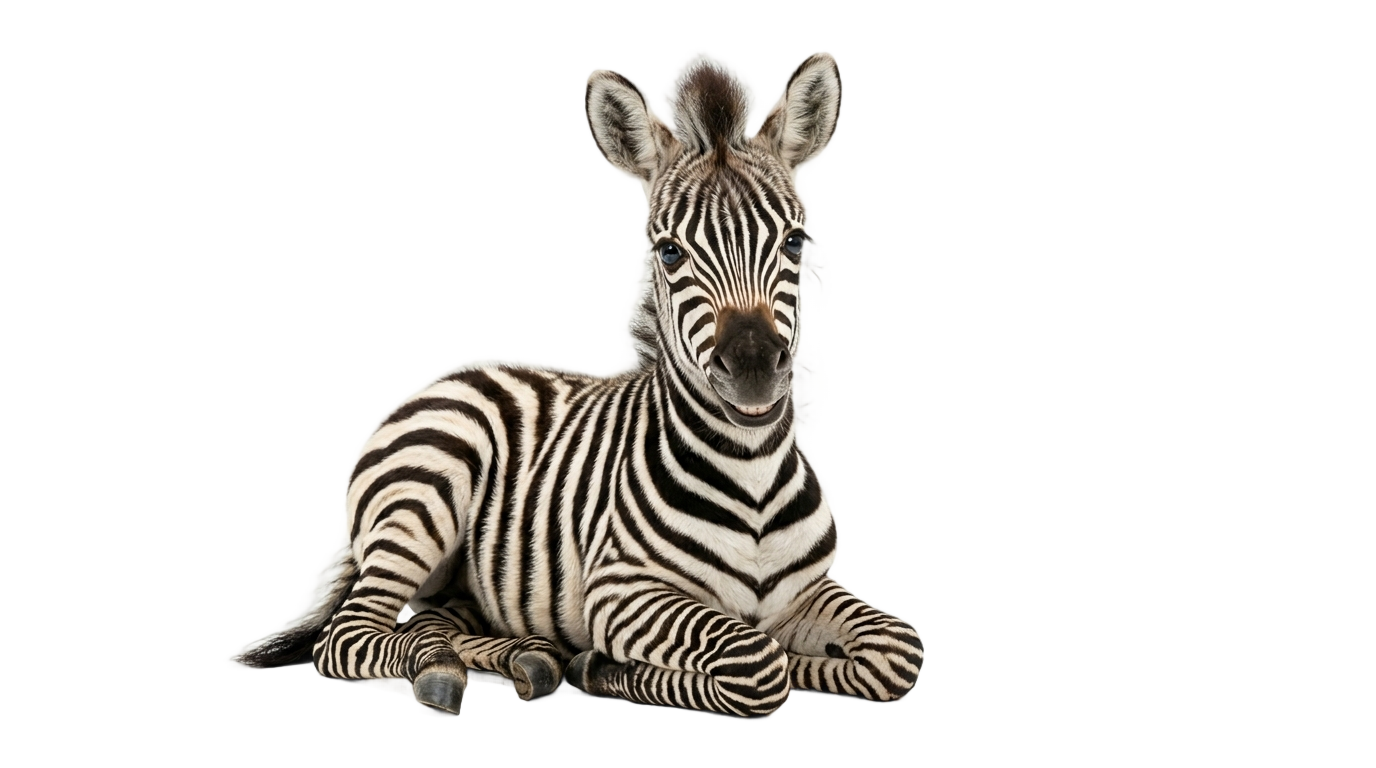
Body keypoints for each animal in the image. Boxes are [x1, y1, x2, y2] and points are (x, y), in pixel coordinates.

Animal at [238, 53, 932, 717]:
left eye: (794, 240)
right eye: (669, 252)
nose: (755, 369)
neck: (752, 474)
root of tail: (460, 373)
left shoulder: (803, 593)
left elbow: (895, 650)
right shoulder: (619, 590)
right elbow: (759, 663)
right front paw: (605, 671)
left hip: (461, 581)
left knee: (436, 620)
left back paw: (525, 657)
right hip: (421, 500)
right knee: (348, 637)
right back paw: (448, 672)